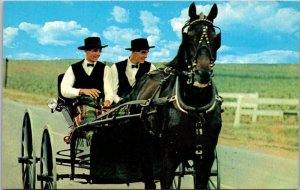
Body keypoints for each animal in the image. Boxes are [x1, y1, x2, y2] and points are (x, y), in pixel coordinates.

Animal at [121, 2, 223, 189]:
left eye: (216, 37)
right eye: (188, 35)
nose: (202, 73)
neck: (196, 107)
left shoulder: (205, 158)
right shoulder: (169, 157)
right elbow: (165, 178)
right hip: (145, 144)